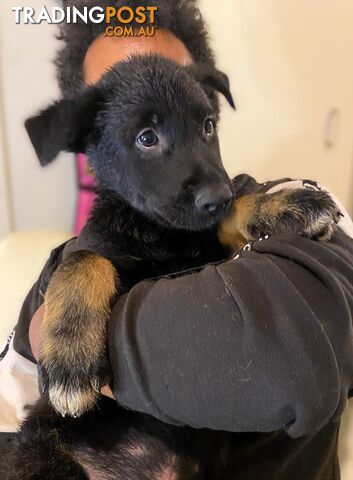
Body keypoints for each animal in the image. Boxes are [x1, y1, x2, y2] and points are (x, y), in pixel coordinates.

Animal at [1, 54, 340, 478]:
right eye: (147, 137)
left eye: (208, 126)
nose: (219, 196)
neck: (163, 234)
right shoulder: (101, 245)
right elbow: (84, 257)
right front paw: (70, 355)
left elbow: (231, 218)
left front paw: (284, 206)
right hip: (42, 453)